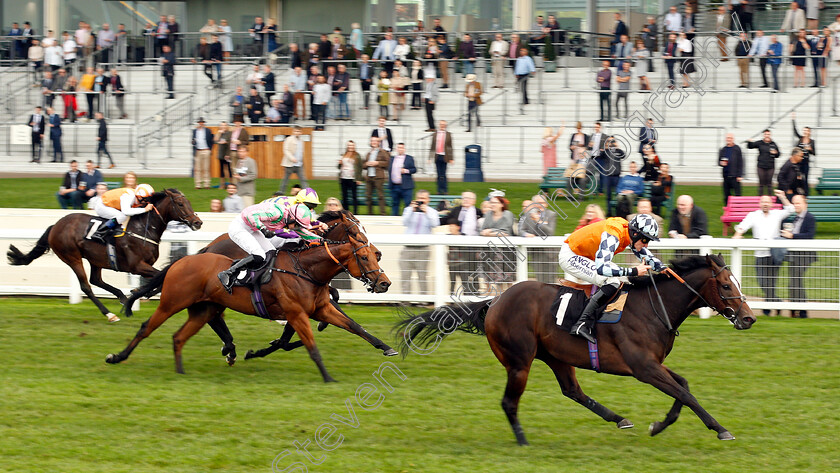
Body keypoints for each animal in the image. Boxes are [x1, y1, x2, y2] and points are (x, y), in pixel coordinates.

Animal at [7, 189, 200, 320]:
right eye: (181, 204)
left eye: (189, 202)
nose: (198, 222)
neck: (143, 229)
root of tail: (56, 225)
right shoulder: (137, 266)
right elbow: (161, 276)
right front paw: (138, 293)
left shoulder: (144, 266)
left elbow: (161, 278)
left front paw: (137, 293)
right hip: (72, 257)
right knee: (87, 286)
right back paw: (110, 314)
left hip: (95, 259)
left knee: (96, 280)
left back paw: (122, 297)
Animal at [110, 212, 396, 382]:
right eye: (362, 251)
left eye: (372, 253)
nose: (384, 282)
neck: (306, 268)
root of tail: (188, 258)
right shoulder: (296, 312)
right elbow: (306, 343)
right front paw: (325, 375)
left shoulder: (320, 308)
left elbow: (354, 326)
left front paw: (387, 347)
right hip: (172, 302)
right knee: (147, 327)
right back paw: (117, 357)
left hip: (204, 307)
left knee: (184, 334)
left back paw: (211, 358)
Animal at [398, 254, 756, 442]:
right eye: (726, 286)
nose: (748, 318)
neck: (653, 306)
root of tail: (495, 301)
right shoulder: (644, 368)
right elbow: (684, 393)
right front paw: (721, 429)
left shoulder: (654, 363)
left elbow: (683, 386)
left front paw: (659, 425)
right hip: (519, 361)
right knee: (510, 401)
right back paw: (522, 439)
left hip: (556, 356)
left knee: (572, 390)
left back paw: (618, 418)